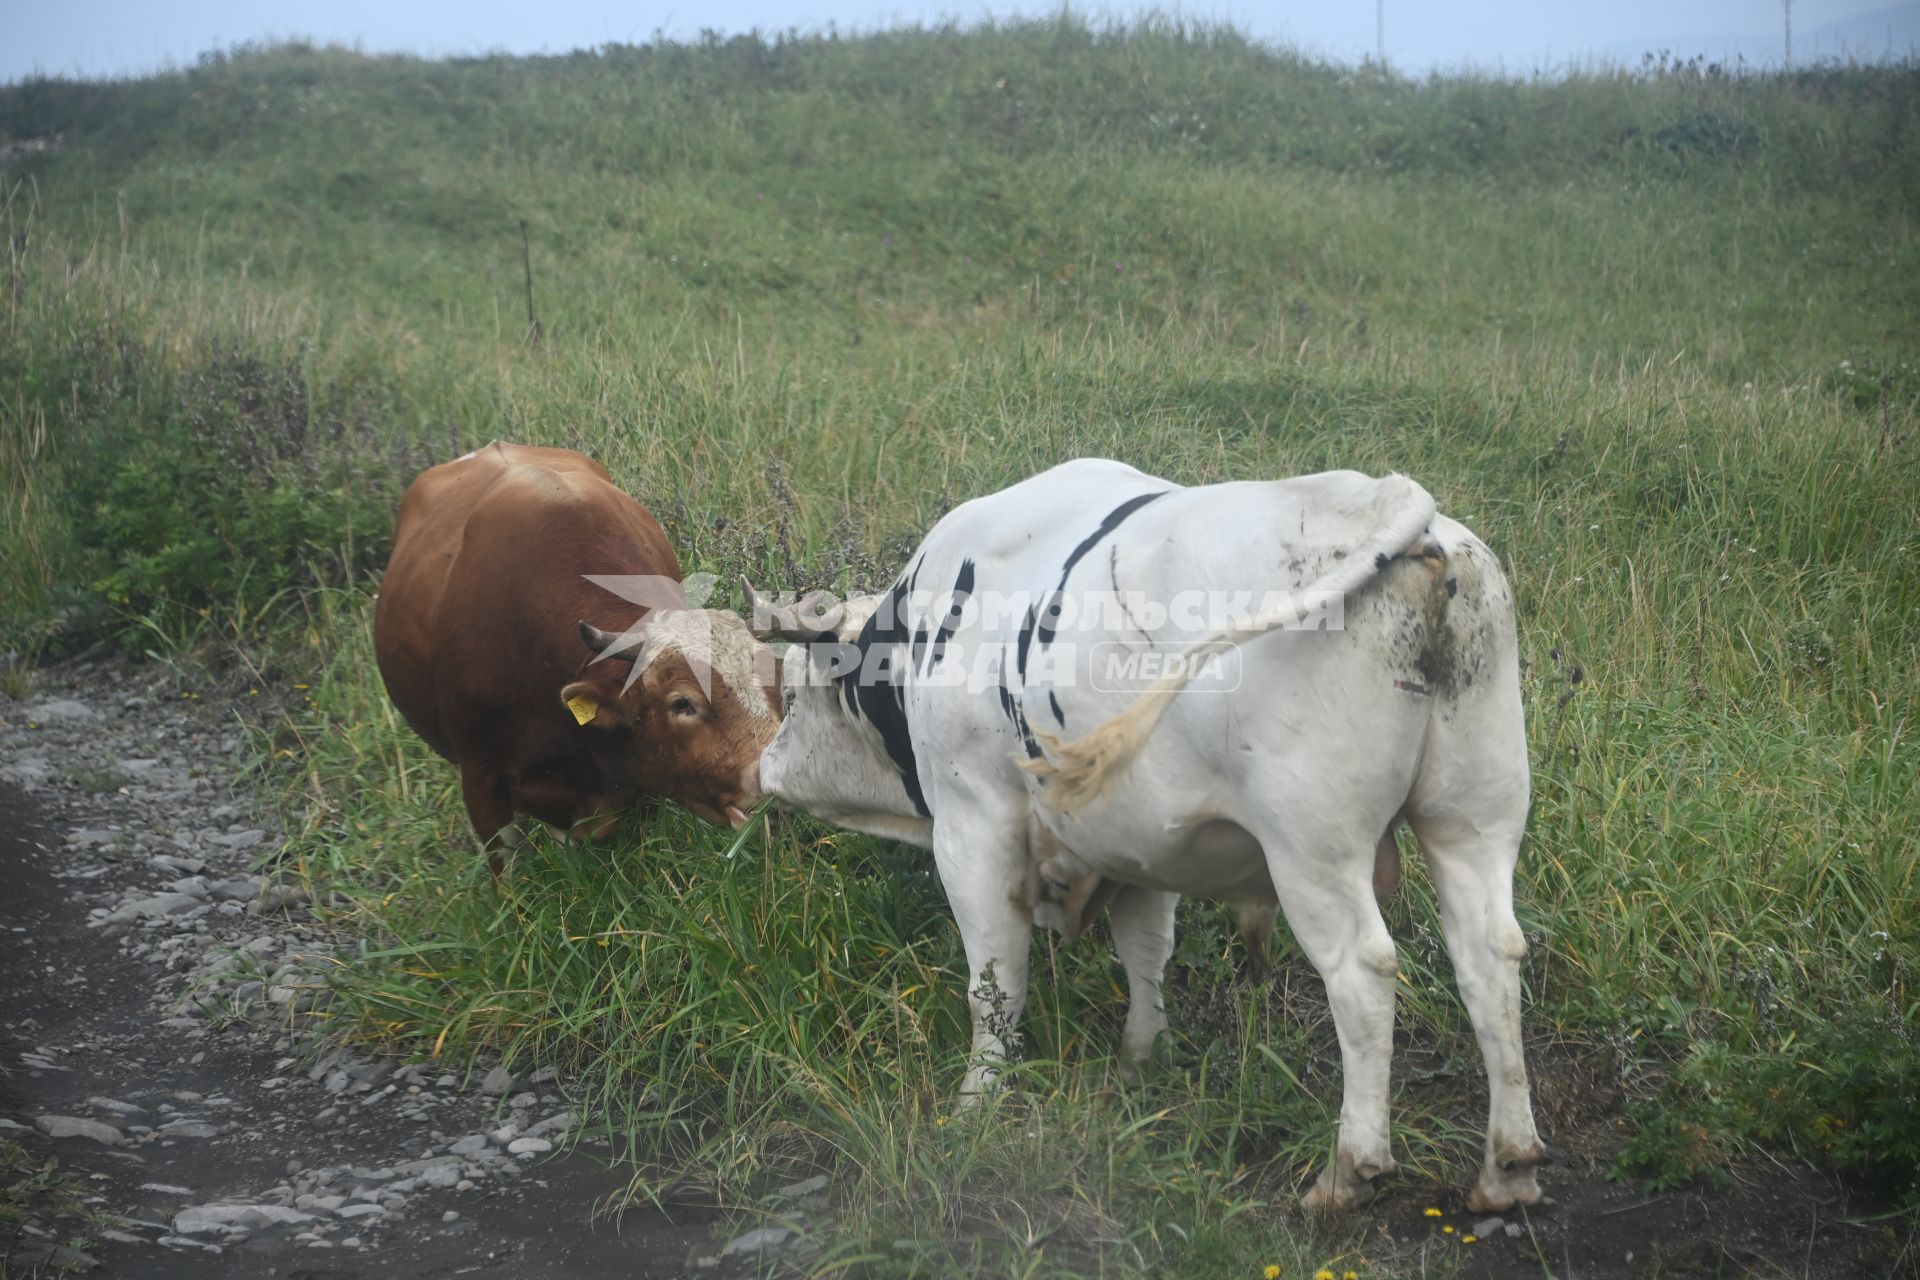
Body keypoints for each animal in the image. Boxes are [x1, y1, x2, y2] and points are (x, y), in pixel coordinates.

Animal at [748, 458, 1543, 1212]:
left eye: (796, 685)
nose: (763, 768)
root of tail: (1392, 506)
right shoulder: (1141, 841)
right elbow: (1146, 951)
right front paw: (1140, 1061)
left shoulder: (974, 820)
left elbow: (994, 981)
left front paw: (978, 1102)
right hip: (1476, 814)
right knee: (1490, 953)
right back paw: (1507, 1166)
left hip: (1315, 847)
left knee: (1364, 975)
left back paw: (1350, 1172)